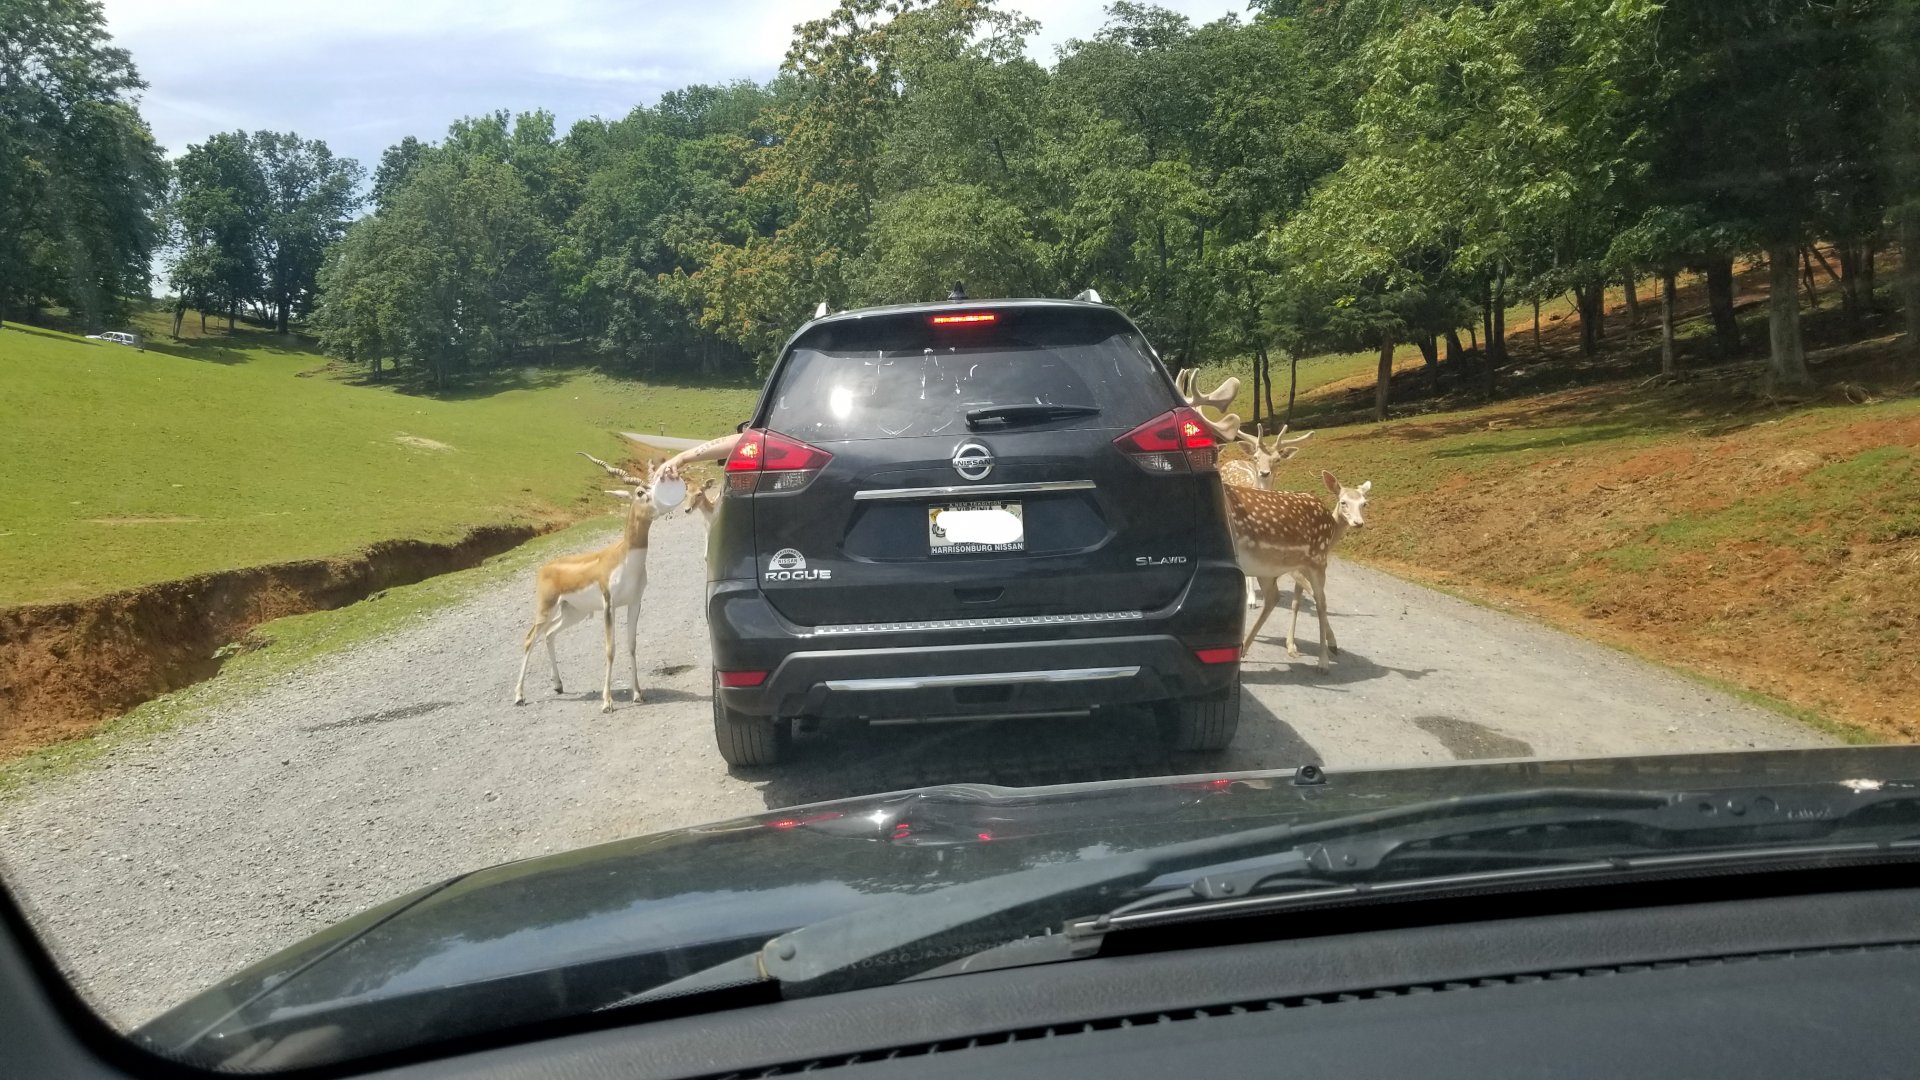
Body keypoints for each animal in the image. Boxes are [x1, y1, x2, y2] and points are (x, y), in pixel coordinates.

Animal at [512, 452, 663, 713]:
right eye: (640, 493)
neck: (625, 558)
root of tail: (545, 568)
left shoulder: (635, 603)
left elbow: (631, 645)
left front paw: (637, 694)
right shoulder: (609, 605)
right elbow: (610, 649)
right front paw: (607, 702)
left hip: (573, 612)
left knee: (549, 634)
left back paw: (558, 685)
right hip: (546, 608)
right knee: (530, 638)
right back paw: (519, 696)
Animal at [1223, 470, 1371, 672]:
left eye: (1365, 503)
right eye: (1343, 502)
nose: (1358, 522)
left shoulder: (1300, 569)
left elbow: (1299, 601)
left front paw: (1295, 646)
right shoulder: (1296, 571)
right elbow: (1297, 601)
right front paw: (1292, 645)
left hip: (1315, 560)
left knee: (1320, 601)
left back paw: (1323, 661)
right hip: (1271, 567)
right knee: (1278, 597)